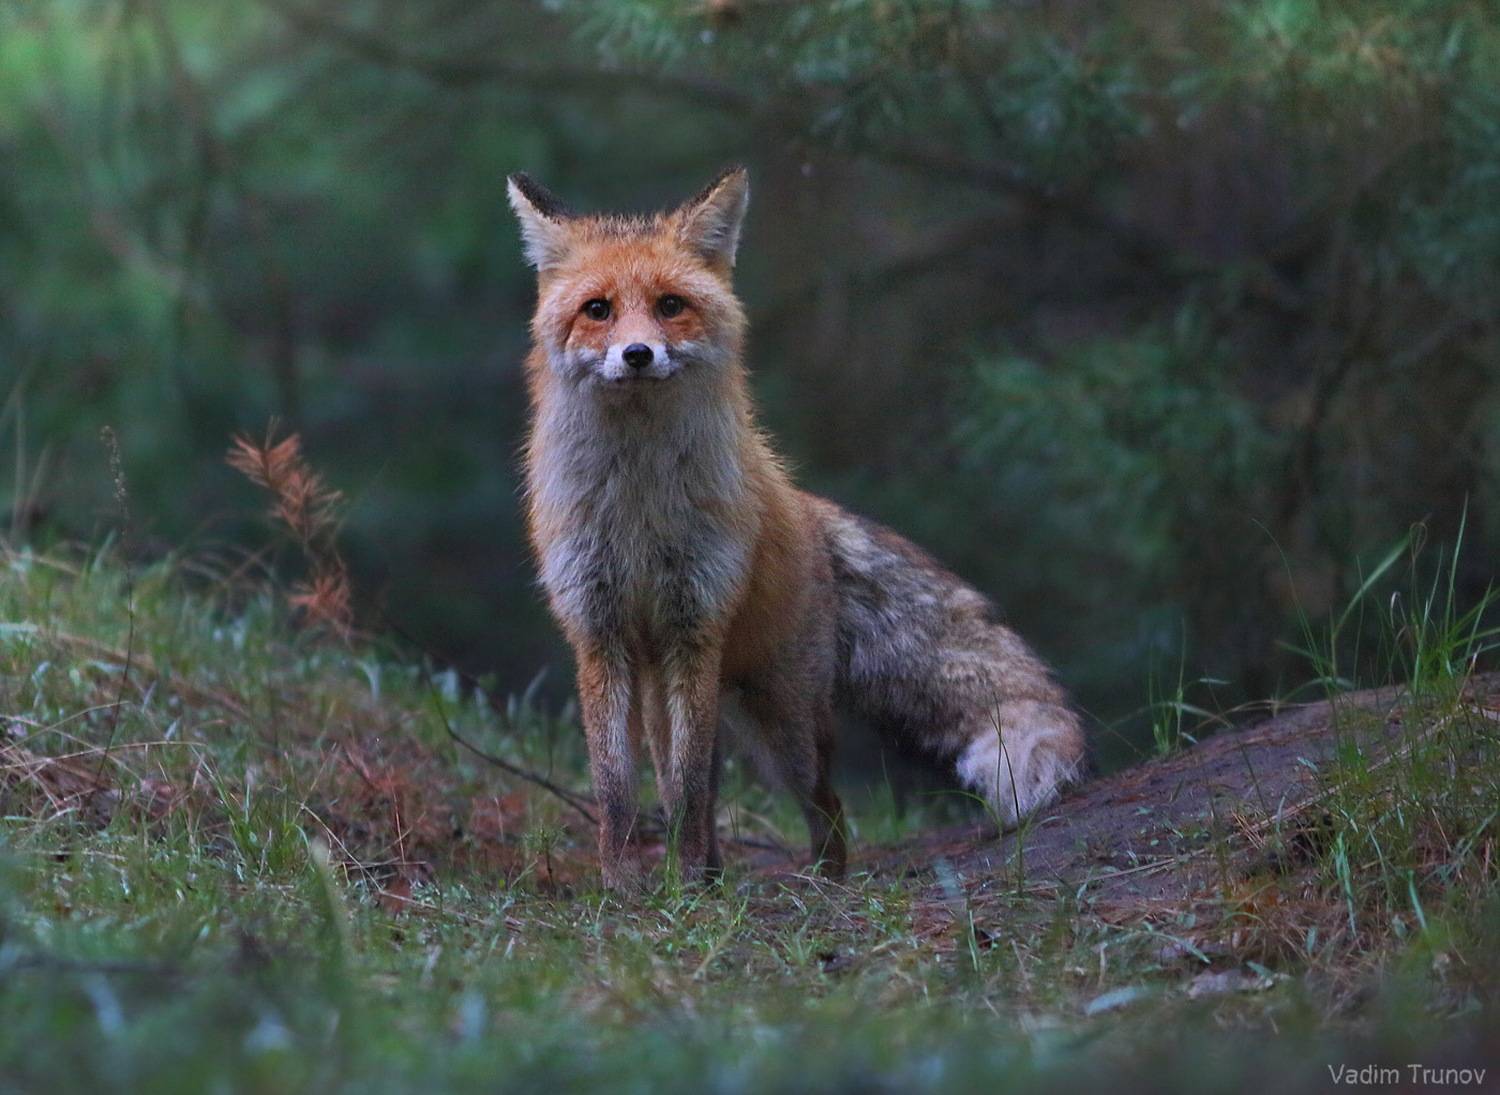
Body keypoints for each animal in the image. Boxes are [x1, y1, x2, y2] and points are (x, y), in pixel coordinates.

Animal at [507, 166, 1085, 892]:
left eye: (669, 305)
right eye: (598, 310)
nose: (638, 354)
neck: (638, 506)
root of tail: (798, 503)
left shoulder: (693, 626)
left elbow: (686, 789)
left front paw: (682, 884)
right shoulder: (600, 631)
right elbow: (619, 788)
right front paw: (624, 887)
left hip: (782, 725)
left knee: (825, 805)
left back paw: (816, 883)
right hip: (677, 694)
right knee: (693, 786)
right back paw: (713, 874)